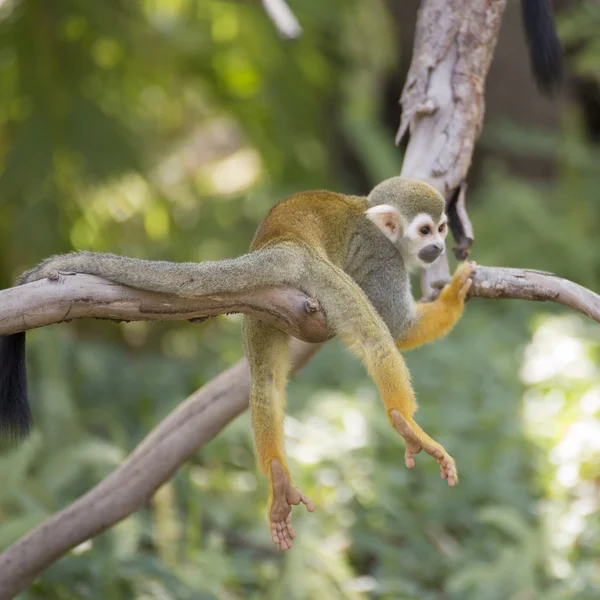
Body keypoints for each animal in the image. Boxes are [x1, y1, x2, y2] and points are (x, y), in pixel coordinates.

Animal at [2, 176, 476, 552]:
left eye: (442, 227)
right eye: (425, 230)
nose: (437, 246)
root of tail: (283, 242)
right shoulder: (383, 258)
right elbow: (399, 329)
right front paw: (455, 293)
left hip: (266, 303)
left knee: (265, 381)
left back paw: (277, 477)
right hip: (320, 276)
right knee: (374, 338)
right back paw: (405, 424)